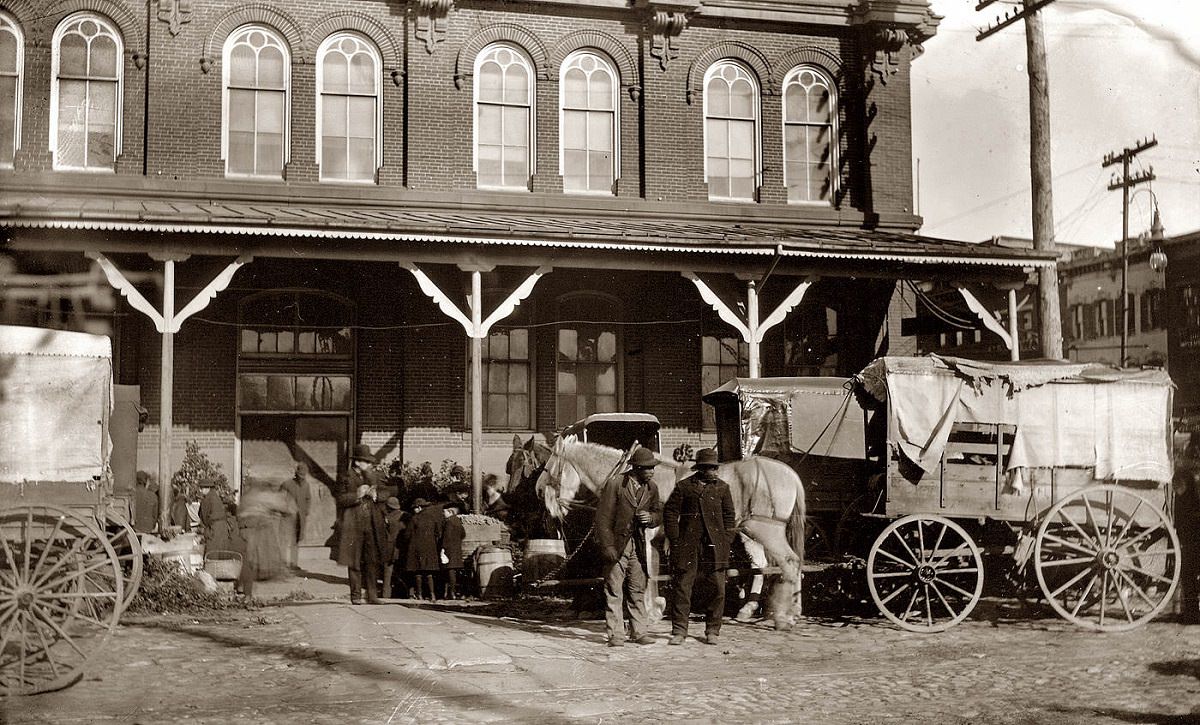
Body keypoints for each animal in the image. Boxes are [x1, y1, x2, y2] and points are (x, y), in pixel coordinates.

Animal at [535, 436, 806, 628]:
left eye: (549, 467)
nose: (538, 490)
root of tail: (790, 474)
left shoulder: (645, 534)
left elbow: (646, 572)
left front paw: (647, 610)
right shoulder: (654, 539)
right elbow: (654, 571)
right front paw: (655, 607)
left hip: (766, 530)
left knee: (790, 563)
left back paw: (784, 616)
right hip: (751, 532)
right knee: (766, 565)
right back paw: (759, 610)